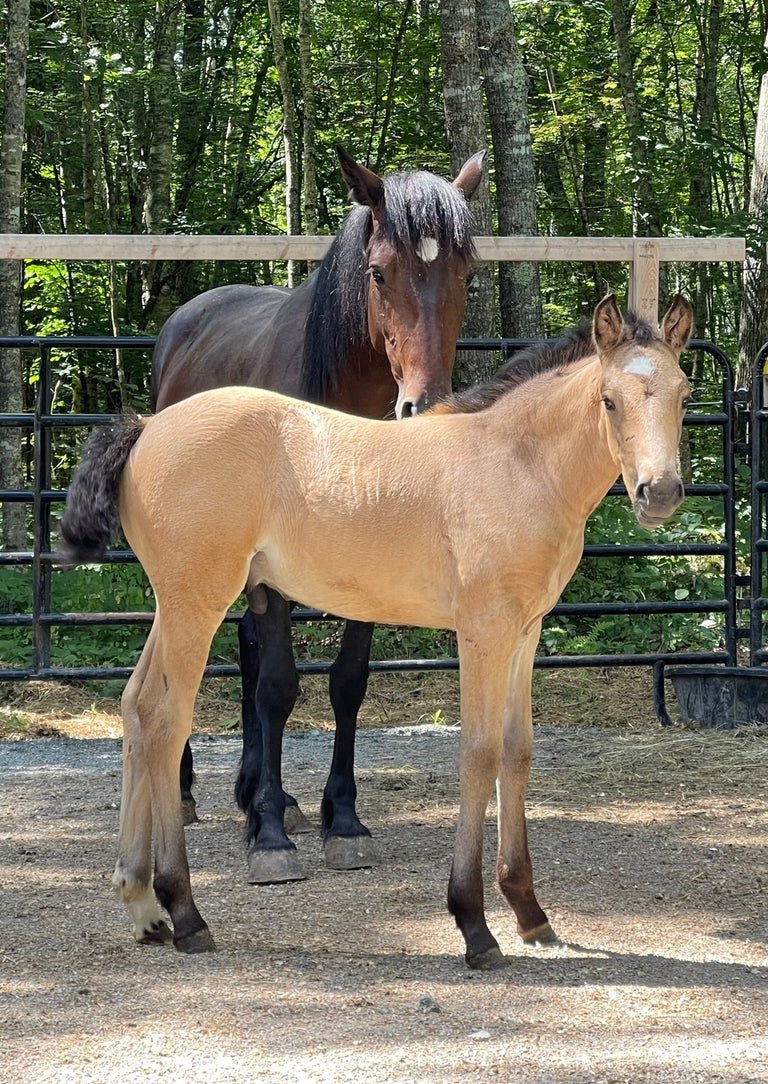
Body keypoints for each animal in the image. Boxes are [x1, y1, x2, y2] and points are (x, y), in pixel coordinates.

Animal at [58, 293, 692, 967]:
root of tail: (147, 427)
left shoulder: (525, 631)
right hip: (196, 606)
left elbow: (517, 753)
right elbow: (479, 753)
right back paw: (185, 912)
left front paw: (529, 912)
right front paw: (473, 923)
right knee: (164, 721)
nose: (659, 493)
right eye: (609, 399)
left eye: (683, 393)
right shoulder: (484, 630)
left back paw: (142, 904)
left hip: (172, 606)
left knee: (135, 708)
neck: (514, 465)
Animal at [150, 145, 485, 883]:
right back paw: (186, 791)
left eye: (466, 274)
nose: (424, 408)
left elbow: (346, 682)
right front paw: (272, 840)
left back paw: (257, 793)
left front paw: (342, 820)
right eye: (379, 272)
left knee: (246, 646)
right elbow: (279, 685)